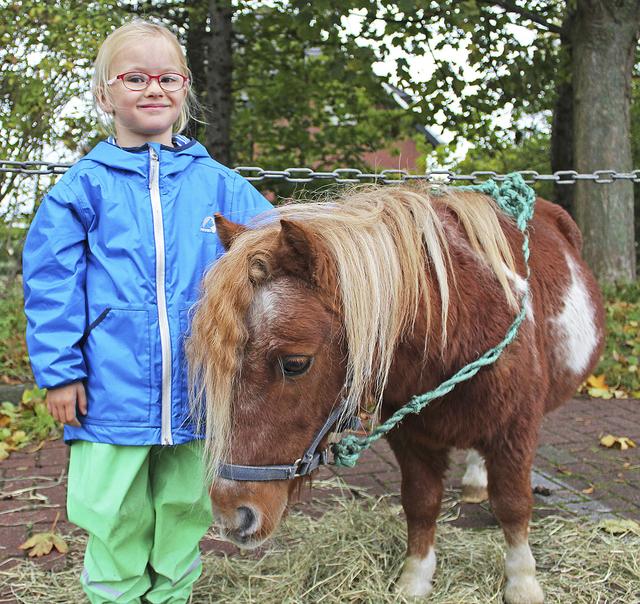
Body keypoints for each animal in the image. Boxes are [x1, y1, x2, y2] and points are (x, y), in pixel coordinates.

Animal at [186, 182, 605, 604]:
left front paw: (522, 582)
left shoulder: (514, 432)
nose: (232, 513)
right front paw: (415, 578)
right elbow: (420, 501)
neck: (461, 332)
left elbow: (513, 505)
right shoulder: (411, 438)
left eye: (295, 363)